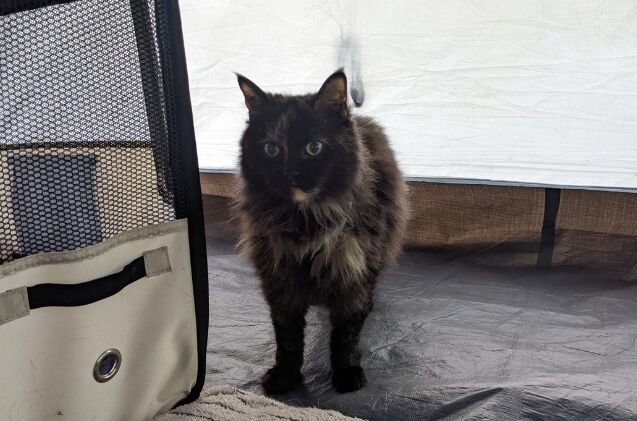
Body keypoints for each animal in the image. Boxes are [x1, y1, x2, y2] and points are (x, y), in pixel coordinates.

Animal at [235, 69, 408, 394]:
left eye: (314, 147)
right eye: (271, 149)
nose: (290, 174)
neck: (305, 223)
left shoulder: (353, 275)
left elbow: (345, 336)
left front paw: (346, 375)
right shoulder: (279, 280)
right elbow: (287, 339)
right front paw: (285, 377)